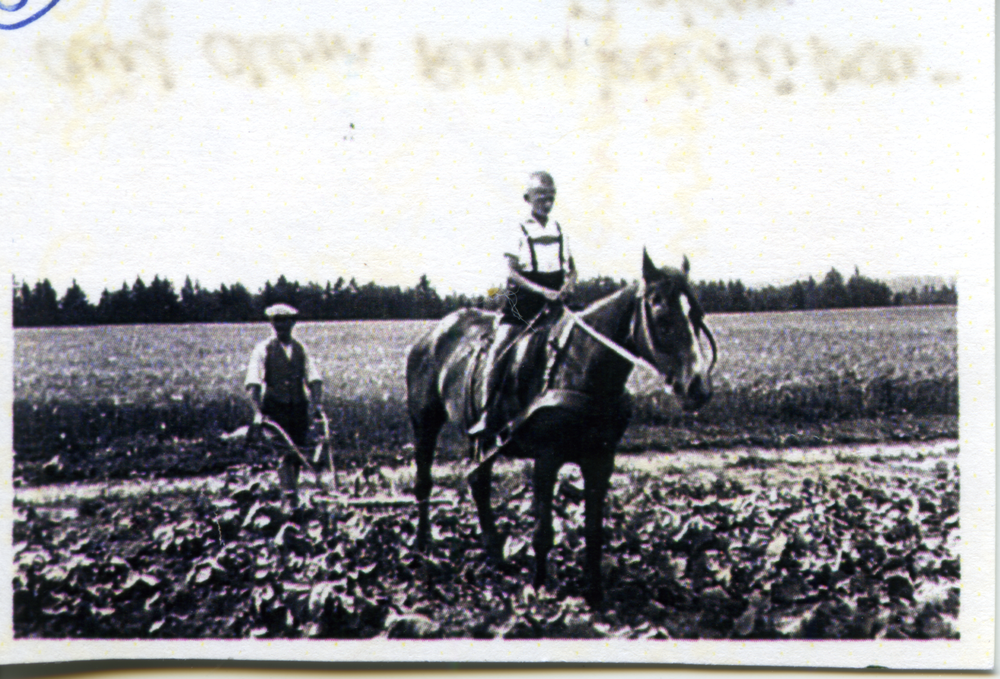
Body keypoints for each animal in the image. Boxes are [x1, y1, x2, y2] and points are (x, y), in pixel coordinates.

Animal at [402, 251, 716, 604]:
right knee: (424, 483)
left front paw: (594, 594)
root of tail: (432, 336)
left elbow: (594, 530)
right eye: (662, 319)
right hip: (424, 422)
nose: (698, 387)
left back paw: (495, 554)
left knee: (478, 482)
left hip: (480, 437)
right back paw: (422, 548)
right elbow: (543, 532)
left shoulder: (600, 461)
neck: (582, 367)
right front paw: (539, 589)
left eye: (697, 316)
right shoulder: (547, 460)